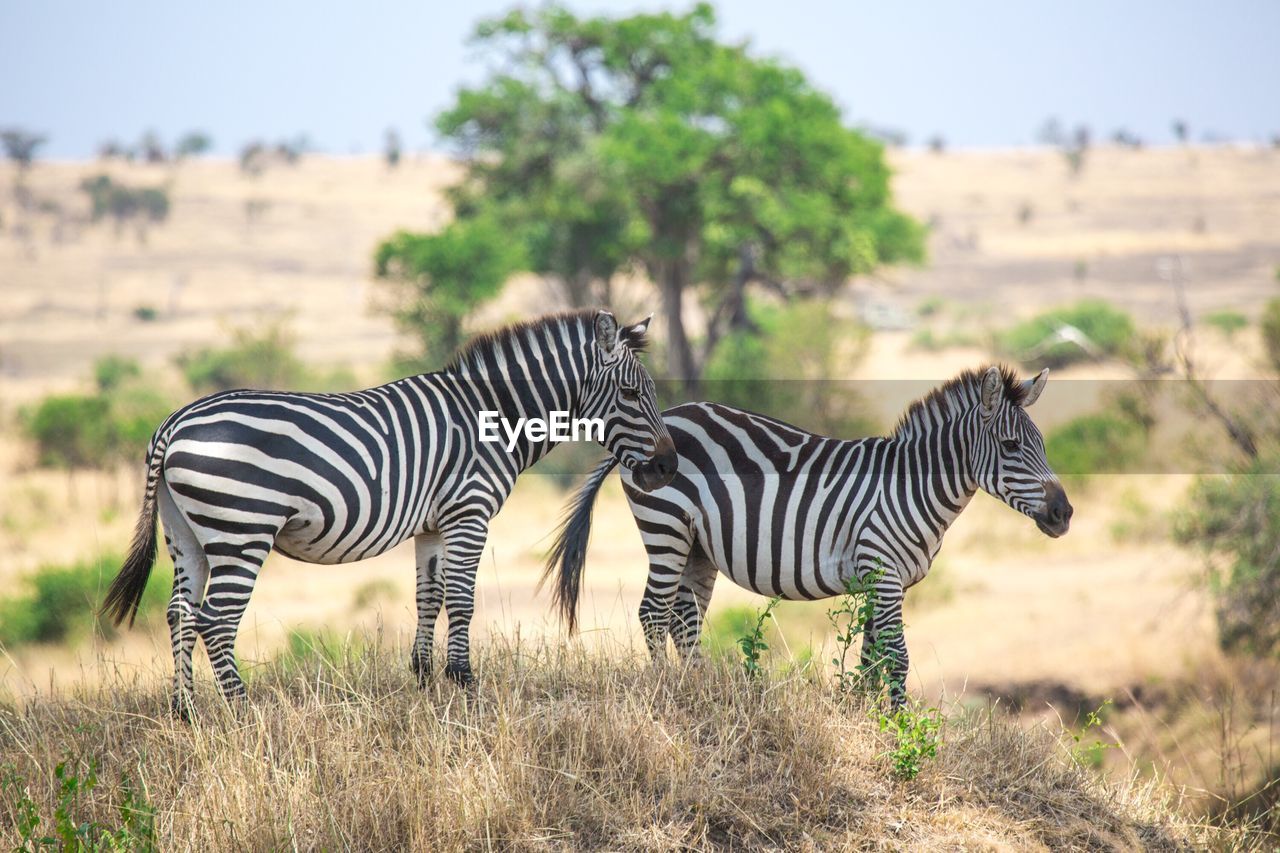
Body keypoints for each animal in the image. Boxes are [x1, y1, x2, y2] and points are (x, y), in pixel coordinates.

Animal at [103, 308, 675, 712]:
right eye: (630, 393)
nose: (667, 468)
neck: (493, 415)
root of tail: (173, 423)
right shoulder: (469, 512)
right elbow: (462, 601)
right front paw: (466, 686)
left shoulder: (433, 525)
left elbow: (429, 598)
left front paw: (424, 682)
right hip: (242, 530)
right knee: (217, 620)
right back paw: (245, 715)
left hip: (188, 534)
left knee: (180, 613)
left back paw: (187, 713)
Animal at [540, 361, 1070, 701]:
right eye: (1011, 445)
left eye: (1043, 444)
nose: (1064, 512)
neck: (910, 486)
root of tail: (663, 420)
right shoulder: (883, 571)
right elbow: (895, 656)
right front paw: (897, 726)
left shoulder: (879, 578)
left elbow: (870, 655)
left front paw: (863, 714)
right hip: (665, 525)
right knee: (654, 612)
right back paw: (666, 694)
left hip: (697, 547)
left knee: (681, 617)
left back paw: (698, 692)